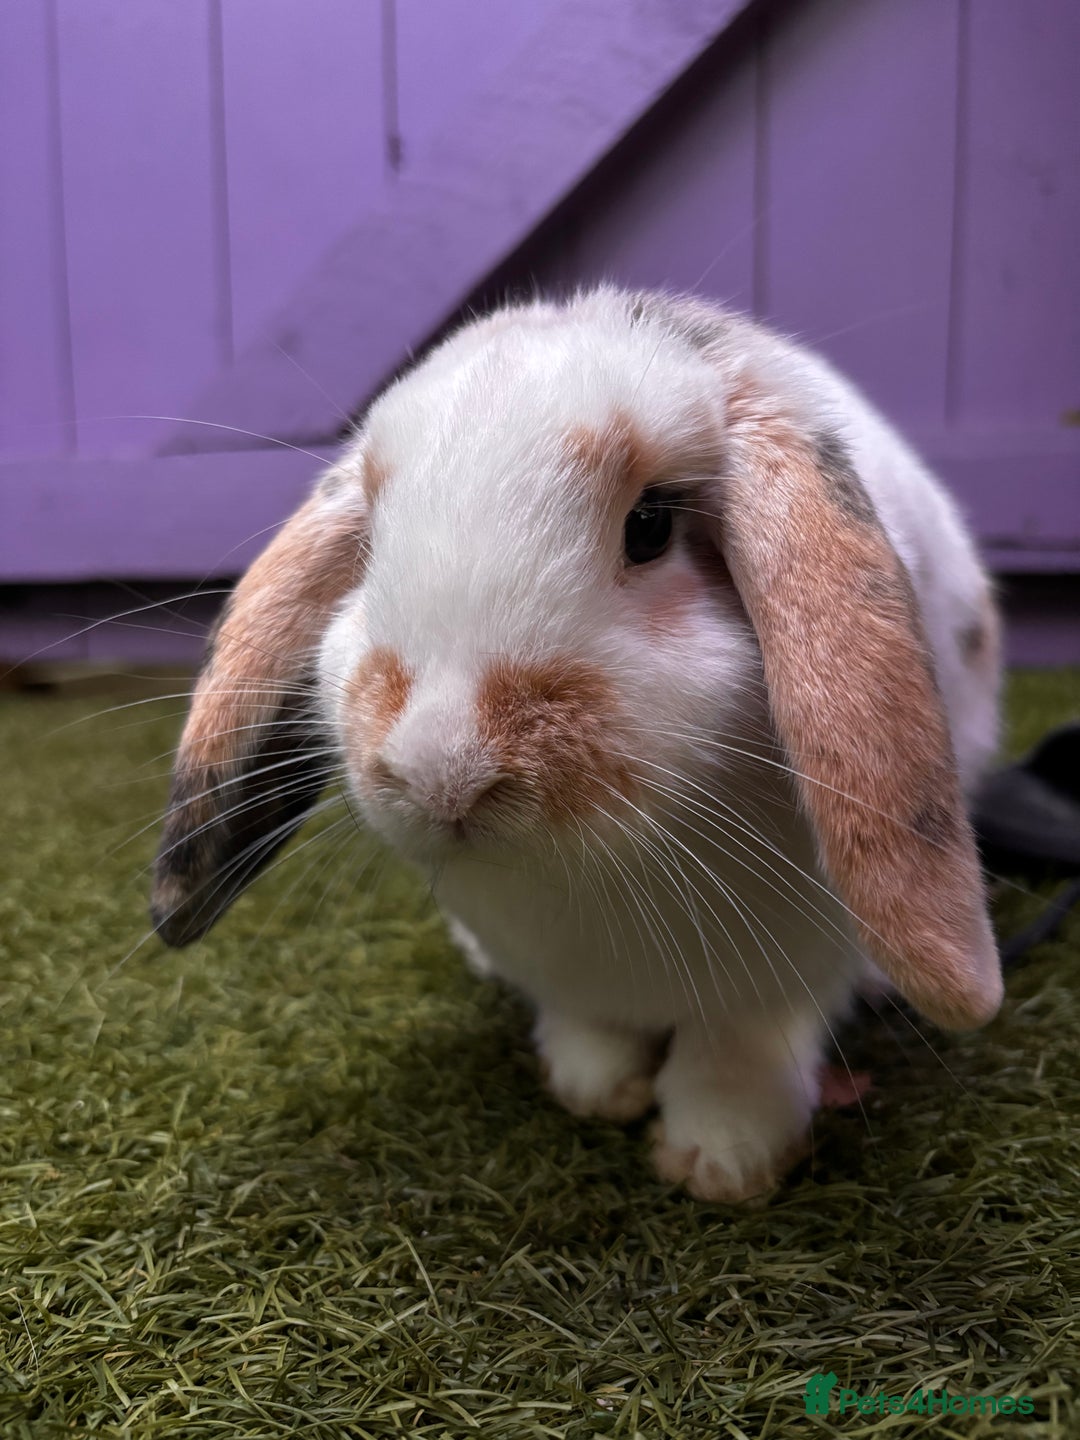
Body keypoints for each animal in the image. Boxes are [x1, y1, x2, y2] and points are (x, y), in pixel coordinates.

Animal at [150, 288, 1004, 1204]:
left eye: (651, 526)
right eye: (370, 547)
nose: (442, 769)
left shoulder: (777, 980)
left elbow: (740, 1046)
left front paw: (723, 1158)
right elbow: (588, 1026)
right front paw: (594, 1088)